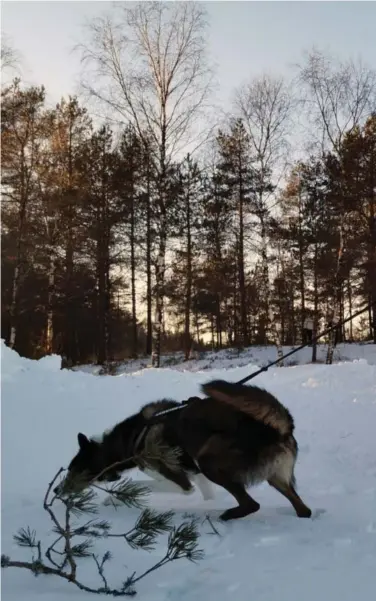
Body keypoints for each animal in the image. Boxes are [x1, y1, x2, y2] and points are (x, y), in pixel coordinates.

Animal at [53, 380, 312, 520]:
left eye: (75, 470)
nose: (56, 490)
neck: (133, 438)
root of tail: (280, 427)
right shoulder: (198, 480)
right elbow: (207, 495)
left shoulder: (180, 481)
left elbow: (143, 486)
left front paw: (113, 499)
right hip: (276, 477)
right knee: (303, 509)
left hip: (210, 463)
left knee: (251, 504)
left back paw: (228, 515)